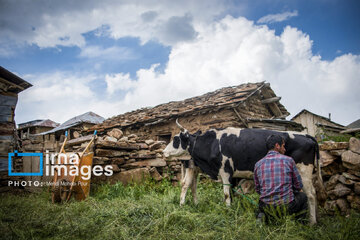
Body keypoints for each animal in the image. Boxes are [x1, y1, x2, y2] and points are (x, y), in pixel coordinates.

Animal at [163, 120, 324, 225]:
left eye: (176, 139)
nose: (163, 152)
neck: (212, 143)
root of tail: (307, 135)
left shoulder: (226, 171)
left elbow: (227, 194)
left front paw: (228, 210)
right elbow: (230, 193)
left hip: (304, 171)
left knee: (311, 194)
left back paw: (312, 222)